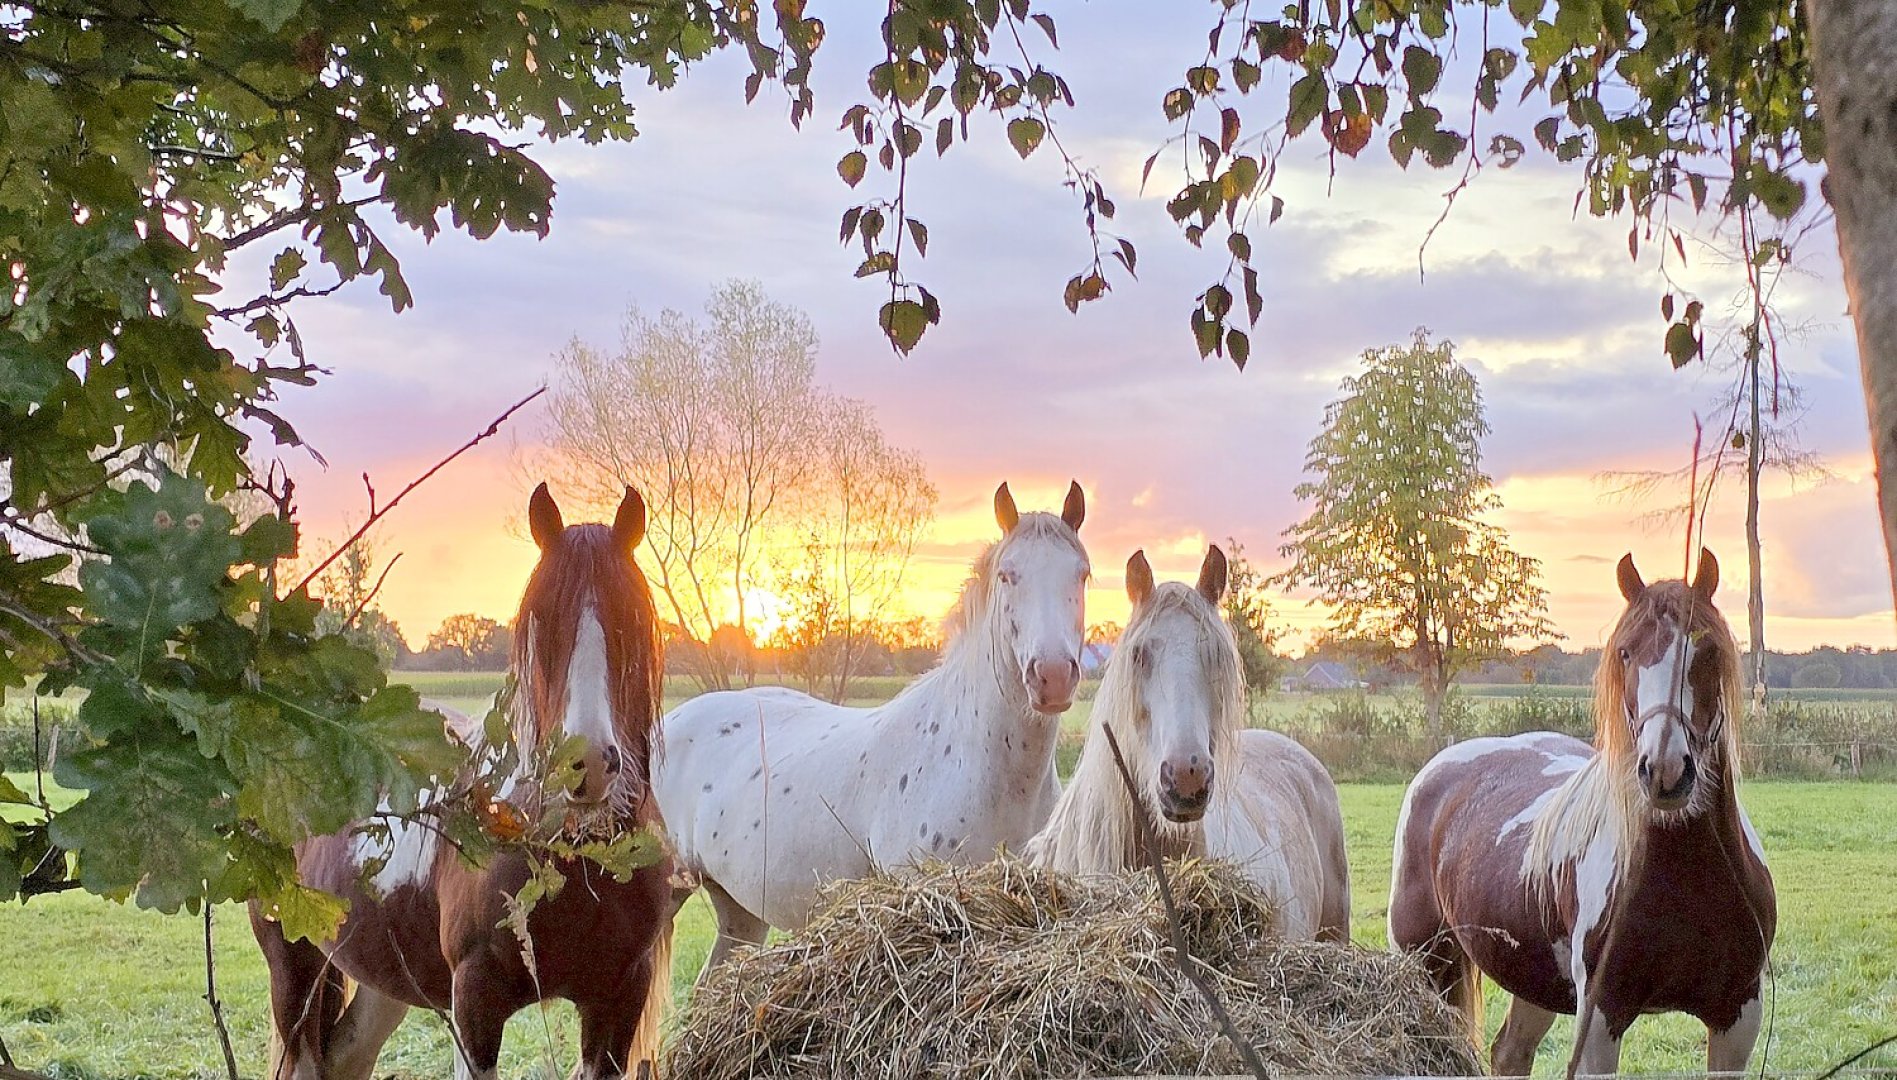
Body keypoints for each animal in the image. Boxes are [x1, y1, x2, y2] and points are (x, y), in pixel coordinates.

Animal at [248, 484, 671, 1078]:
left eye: (630, 620)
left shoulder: (619, 1002)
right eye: (542, 623)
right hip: (293, 964)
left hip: (384, 979)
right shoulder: (475, 1001)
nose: (585, 763)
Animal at [1388, 550, 1768, 1070]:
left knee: (1509, 1053)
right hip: (1425, 960)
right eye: (1626, 652)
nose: (1665, 769)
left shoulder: (1737, 1018)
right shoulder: (1601, 1018)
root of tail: (1439, 769)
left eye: (1706, 650)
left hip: (1531, 981)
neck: (1687, 876)